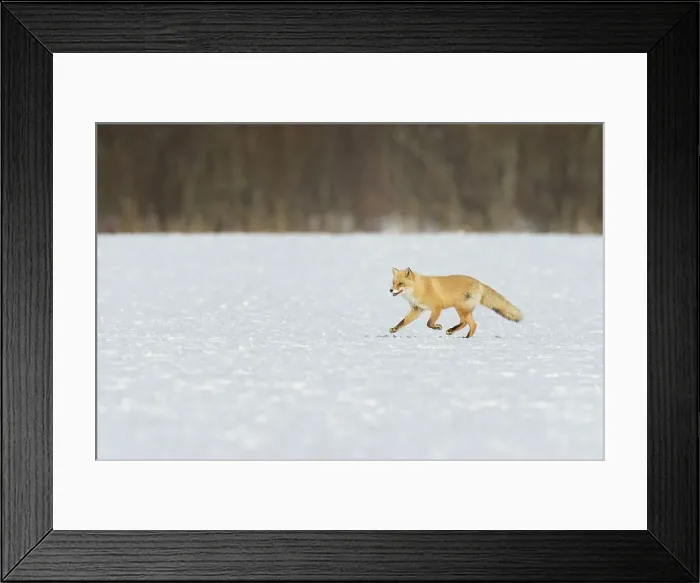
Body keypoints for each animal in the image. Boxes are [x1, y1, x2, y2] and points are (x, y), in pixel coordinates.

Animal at [388, 267, 522, 338]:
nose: (390, 290)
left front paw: (437, 327)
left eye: (401, 283)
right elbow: (403, 322)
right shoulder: (417, 309)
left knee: (466, 323)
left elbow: (429, 323)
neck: (419, 289)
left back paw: (453, 331)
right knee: (472, 324)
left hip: (460, 308)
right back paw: (466, 337)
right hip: (465, 310)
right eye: (393, 283)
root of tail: (478, 282)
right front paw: (394, 329)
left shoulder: (437, 307)